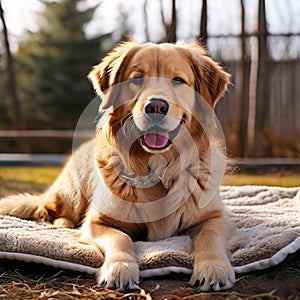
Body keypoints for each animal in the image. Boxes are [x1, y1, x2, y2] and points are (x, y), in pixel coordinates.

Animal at [0, 41, 234, 292]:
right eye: (137, 78)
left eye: (178, 80)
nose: (156, 107)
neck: (157, 166)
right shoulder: (97, 221)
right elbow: (121, 238)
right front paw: (120, 268)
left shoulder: (215, 217)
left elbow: (209, 236)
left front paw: (213, 267)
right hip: (73, 194)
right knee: (52, 210)